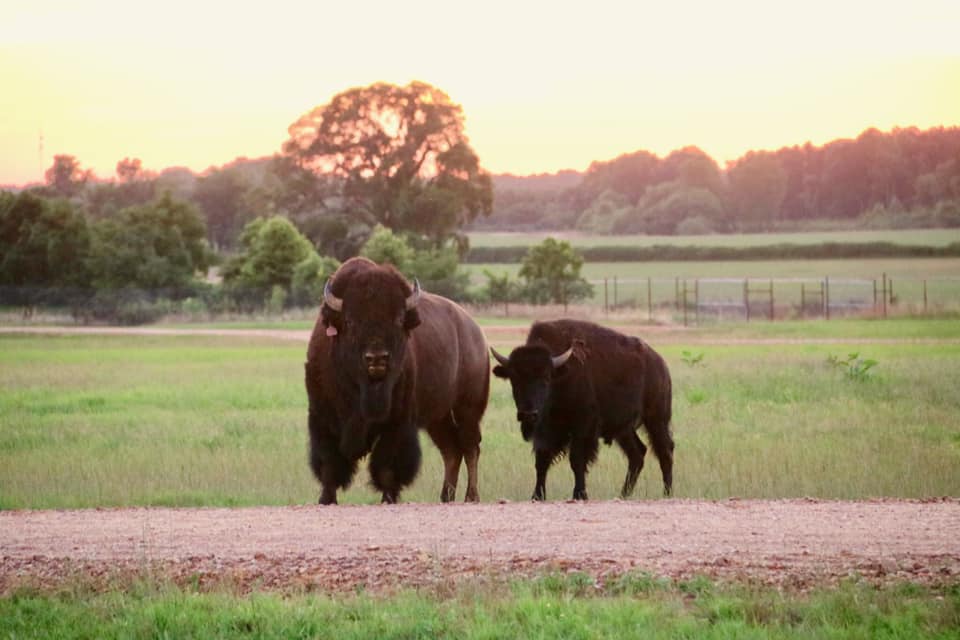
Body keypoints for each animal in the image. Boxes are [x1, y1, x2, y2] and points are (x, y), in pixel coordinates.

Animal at [306, 258, 488, 502]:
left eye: (398, 318)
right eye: (350, 321)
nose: (377, 358)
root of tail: (475, 332)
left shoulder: (397, 421)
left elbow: (387, 466)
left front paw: (388, 499)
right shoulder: (322, 417)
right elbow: (329, 464)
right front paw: (326, 500)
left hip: (467, 409)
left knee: (470, 448)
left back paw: (471, 497)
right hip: (438, 418)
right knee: (451, 451)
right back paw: (446, 496)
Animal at [492, 320, 672, 500]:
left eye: (546, 378)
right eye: (514, 379)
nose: (528, 414)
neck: (560, 375)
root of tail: (660, 364)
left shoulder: (583, 427)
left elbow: (577, 460)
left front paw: (579, 494)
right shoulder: (544, 430)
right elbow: (541, 460)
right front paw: (537, 496)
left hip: (656, 419)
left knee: (665, 450)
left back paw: (667, 493)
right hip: (623, 429)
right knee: (637, 454)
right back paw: (623, 495)